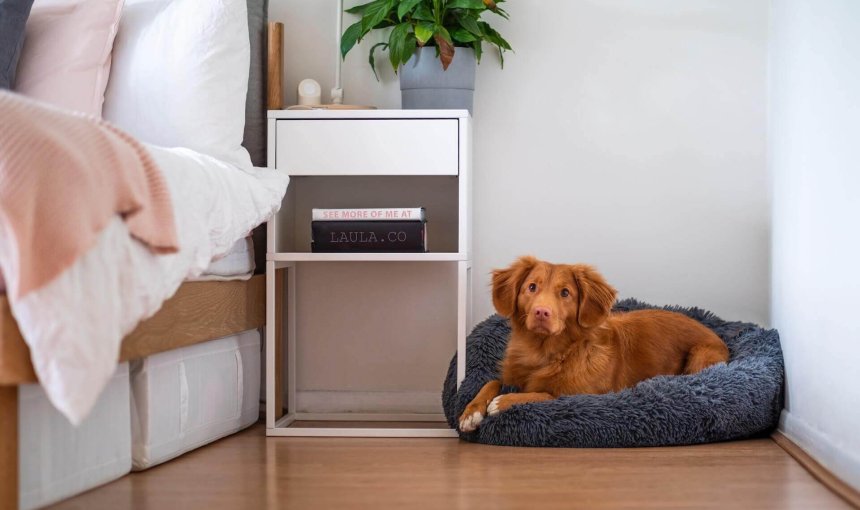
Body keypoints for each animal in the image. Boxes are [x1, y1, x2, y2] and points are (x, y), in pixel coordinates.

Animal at [460, 256, 728, 432]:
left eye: (565, 293)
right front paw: (471, 412)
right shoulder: (511, 375)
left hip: (700, 355)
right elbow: (491, 381)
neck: (544, 351)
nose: (541, 312)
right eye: (531, 287)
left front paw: (503, 402)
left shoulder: (582, 395)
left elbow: (546, 394)